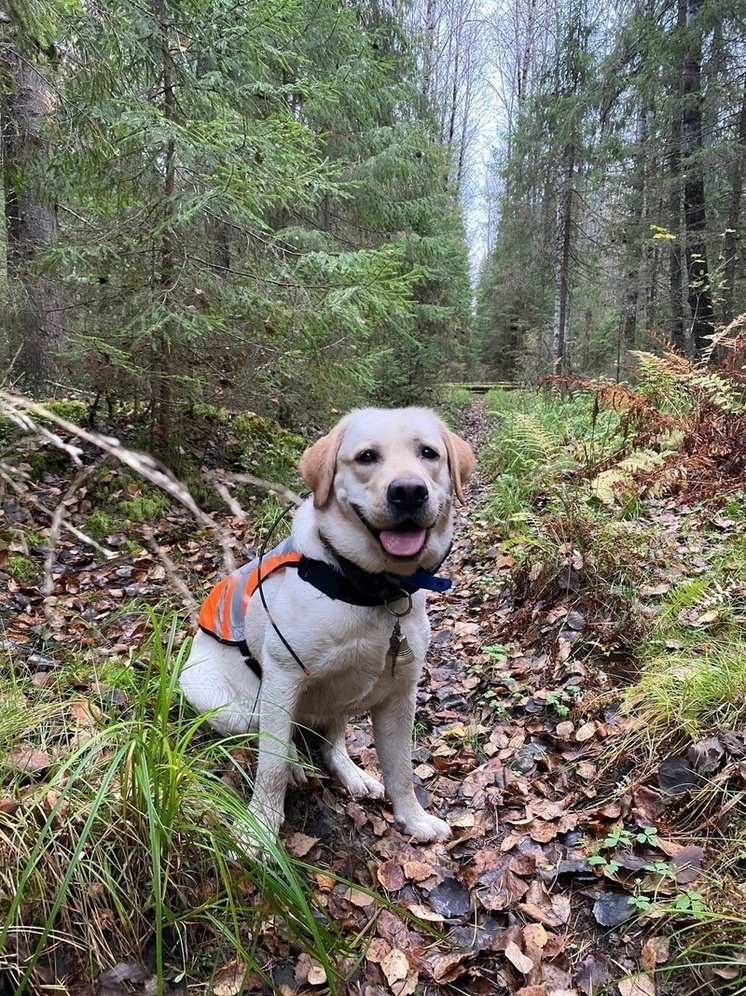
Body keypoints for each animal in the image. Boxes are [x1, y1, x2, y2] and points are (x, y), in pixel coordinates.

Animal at [178, 404, 474, 848]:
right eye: (367, 456)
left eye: (428, 453)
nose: (408, 491)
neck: (373, 590)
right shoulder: (283, 678)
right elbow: (270, 768)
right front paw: (259, 831)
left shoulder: (400, 694)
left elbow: (401, 770)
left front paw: (414, 819)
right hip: (231, 704)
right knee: (266, 738)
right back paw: (295, 764)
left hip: (342, 698)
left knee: (331, 743)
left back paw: (352, 774)